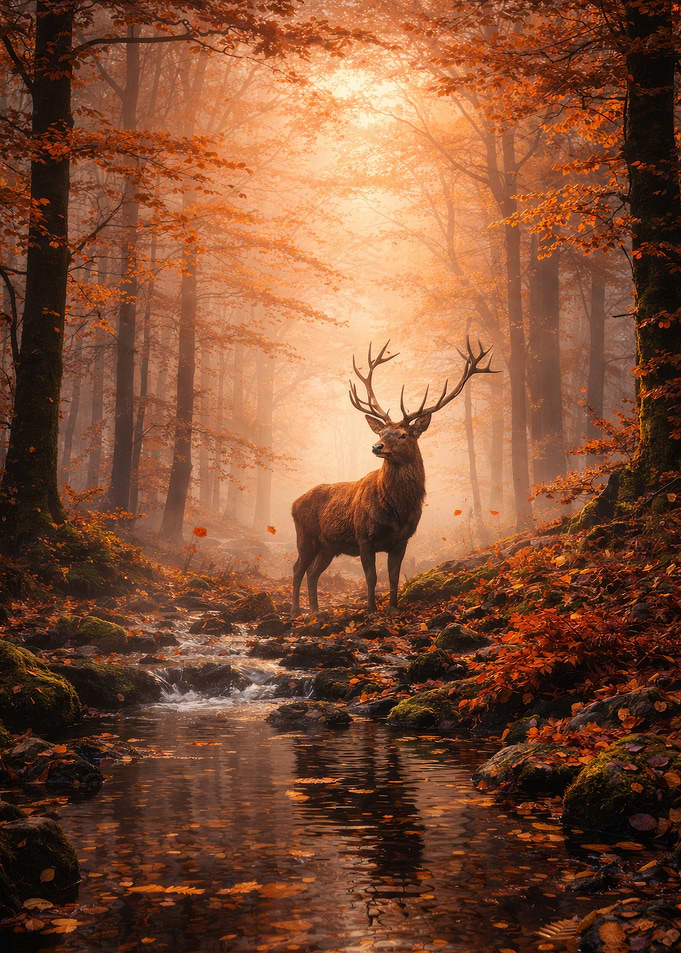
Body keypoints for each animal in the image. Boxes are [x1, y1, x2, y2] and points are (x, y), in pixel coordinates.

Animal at [291, 338, 495, 614]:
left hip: (329, 545)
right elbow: (371, 577)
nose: (376, 446)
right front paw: (371, 610)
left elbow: (394, 576)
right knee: (297, 569)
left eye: (403, 435)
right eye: (381, 432)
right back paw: (296, 610)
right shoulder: (364, 536)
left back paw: (315, 610)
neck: (397, 508)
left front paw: (393, 609)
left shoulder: (402, 539)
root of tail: (293, 503)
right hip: (306, 536)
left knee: (312, 573)